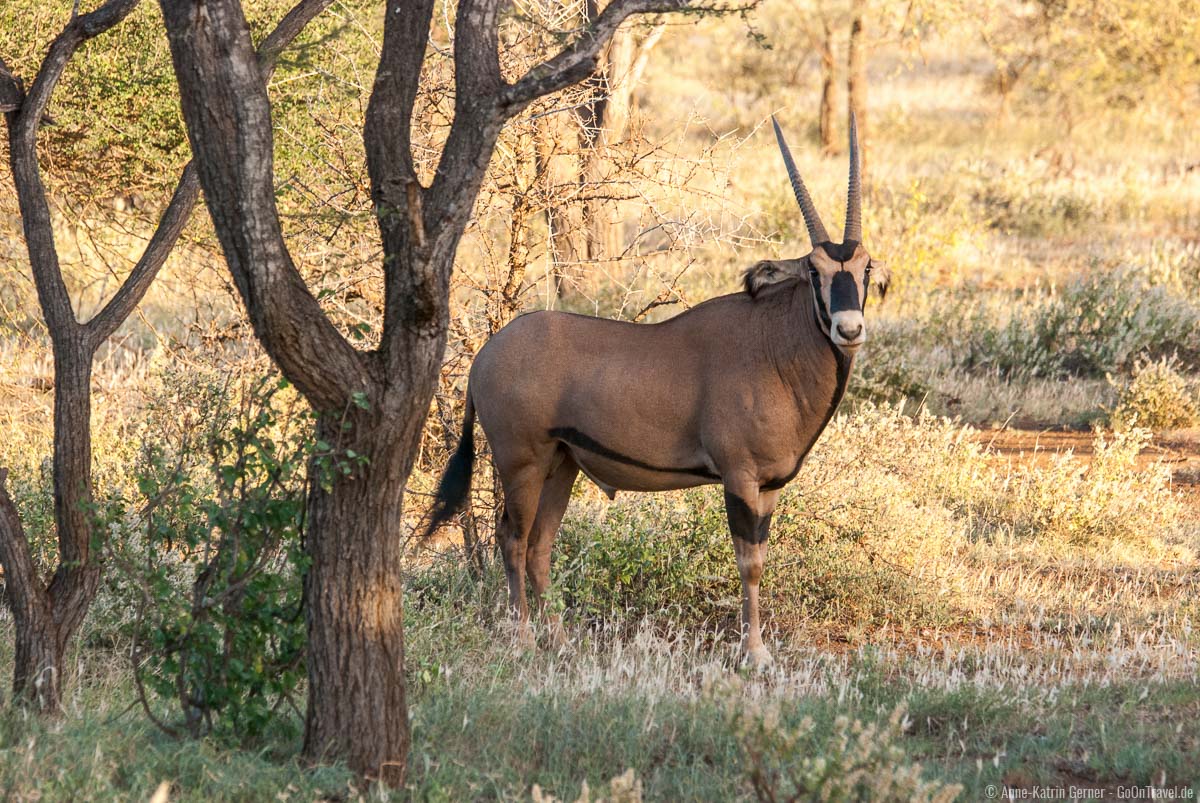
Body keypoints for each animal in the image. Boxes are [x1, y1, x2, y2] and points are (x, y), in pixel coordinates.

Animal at [427, 114, 888, 662]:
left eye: (864, 269)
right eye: (815, 272)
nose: (848, 329)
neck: (776, 342)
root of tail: (484, 355)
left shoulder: (770, 486)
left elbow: (761, 557)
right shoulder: (739, 477)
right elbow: (748, 563)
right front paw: (754, 652)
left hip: (562, 465)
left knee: (539, 545)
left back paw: (559, 641)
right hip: (523, 461)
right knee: (513, 539)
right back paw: (522, 641)